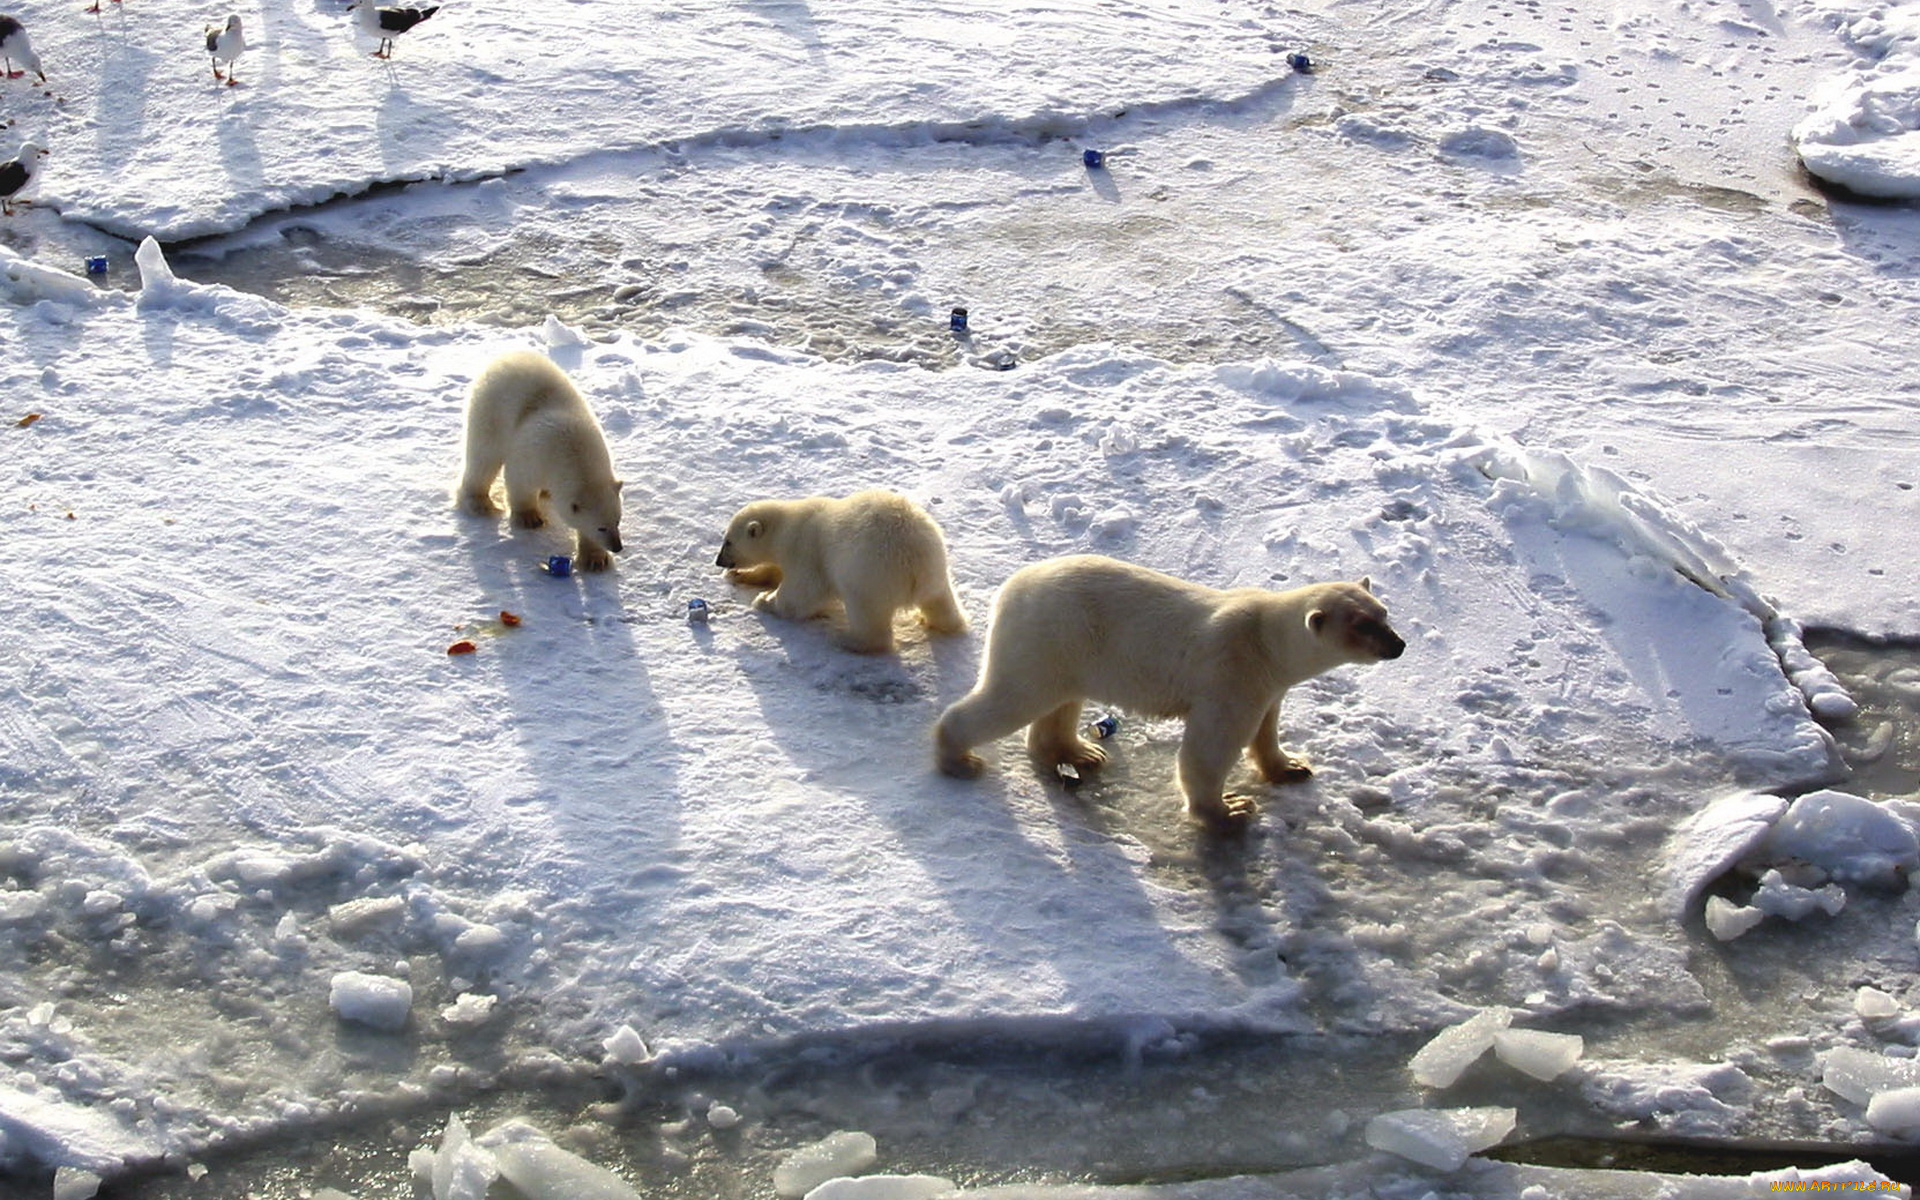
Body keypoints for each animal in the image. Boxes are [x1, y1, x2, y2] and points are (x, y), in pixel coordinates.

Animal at [455, 345, 622, 572]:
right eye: (601, 528)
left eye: (618, 521)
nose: (618, 547)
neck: (574, 452)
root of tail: (504, 357)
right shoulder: (534, 453)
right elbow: (520, 481)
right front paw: (529, 518)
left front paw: (595, 559)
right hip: (490, 409)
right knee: (483, 455)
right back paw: (479, 503)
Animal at [714, 489, 967, 656]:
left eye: (728, 542)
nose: (718, 561)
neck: (787, 527)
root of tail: (916, 562)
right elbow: (774, 569)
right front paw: (741, 576)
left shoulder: (806, 549)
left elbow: (801, 592)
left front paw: (765, 600)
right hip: (936, 569)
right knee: (941, 601)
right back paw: (943, 621)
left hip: (868, 574)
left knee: (868, 615)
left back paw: (845, 639)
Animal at [936, 556, 1405, 829]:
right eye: (1362, 625)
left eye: (1383, 613)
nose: (1398, 645)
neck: (1266, 640)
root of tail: (1010, 588)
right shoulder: (1231, 675)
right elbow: (1210, 747)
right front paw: (1229, 809)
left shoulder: (1268, 684)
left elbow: (1267, 728)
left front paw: (1291, 767)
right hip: (1049, 635)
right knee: (1014, 697)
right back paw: (958, 758)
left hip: (1069, 650)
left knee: (1060, 701)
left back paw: (1081, 752)